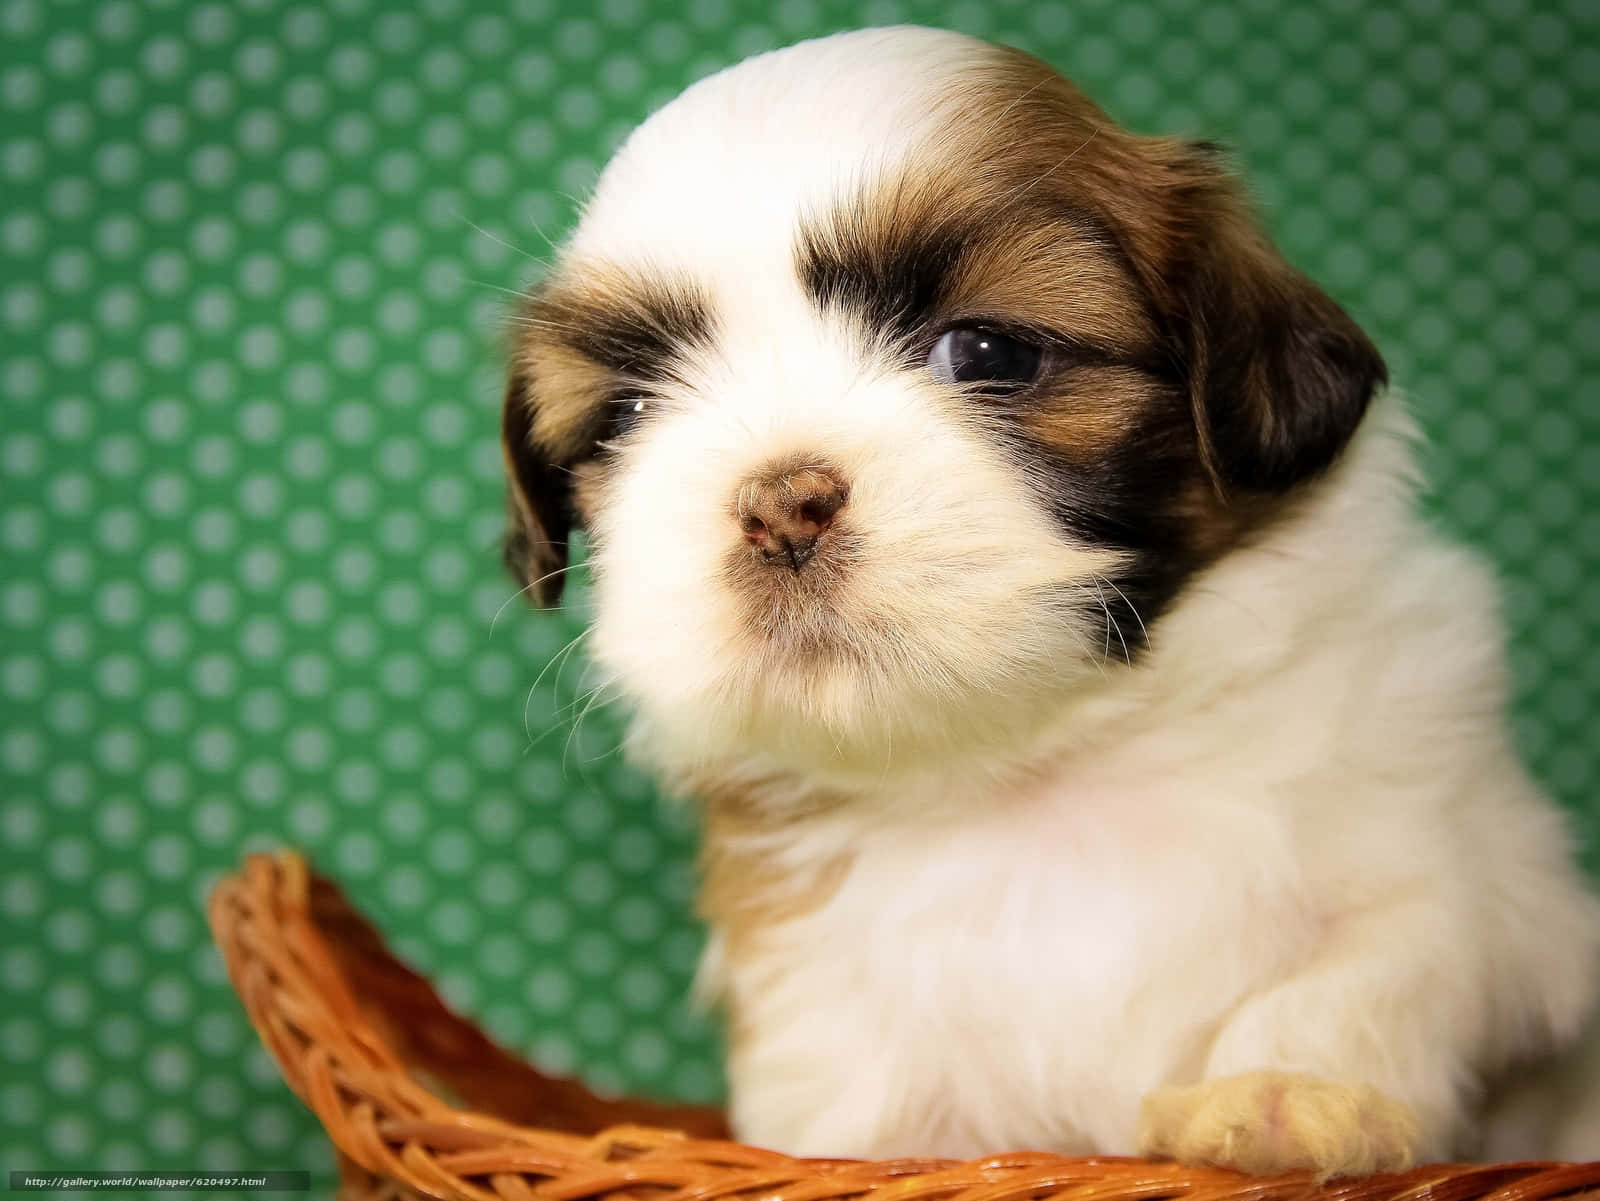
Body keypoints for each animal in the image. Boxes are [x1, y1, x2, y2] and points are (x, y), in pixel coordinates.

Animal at [499, 25, 1600, 1177]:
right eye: (626, 416)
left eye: (989, 352)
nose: (778, 504)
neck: (1040, 766)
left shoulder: (1463, 861)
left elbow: (1380, 951)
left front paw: (1286, 1093)